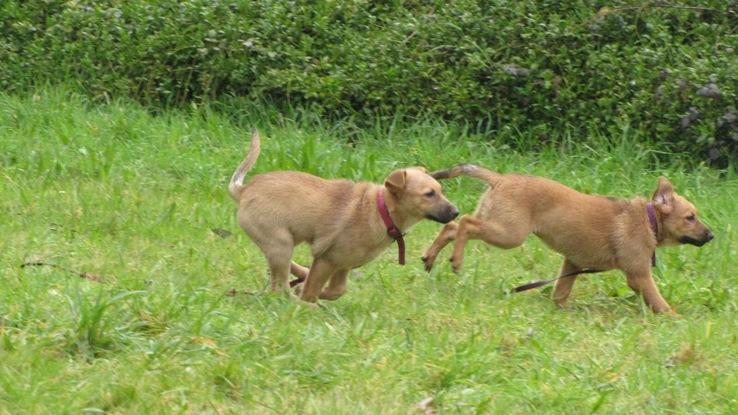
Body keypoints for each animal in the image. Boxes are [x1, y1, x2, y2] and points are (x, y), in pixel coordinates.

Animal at [227, 131, 458, 306]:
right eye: (429, 194)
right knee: (279, 288)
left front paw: (311, 290)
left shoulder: (342, 264)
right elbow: (312, 290)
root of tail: (244, 190)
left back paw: (300, 277)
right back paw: (299, 303)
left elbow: (338, 290)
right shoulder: (326, 260)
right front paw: (307, 299)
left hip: (284, 242)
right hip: (280, 242)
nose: (456, 212)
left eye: (440, 190)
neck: (382, 211)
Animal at [422, 164, 712, 314]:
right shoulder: (639, 275)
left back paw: (430, 257)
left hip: (497, 224)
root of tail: (501, 178)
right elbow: (660, 302)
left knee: (451, 225)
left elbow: (561, 293)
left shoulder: (573, 263)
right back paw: (456, 260)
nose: (711, 235)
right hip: (509, 233)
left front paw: (560, 311)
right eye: (690, 217)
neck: (649, 220)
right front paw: (675, 319)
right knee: (465, 223)